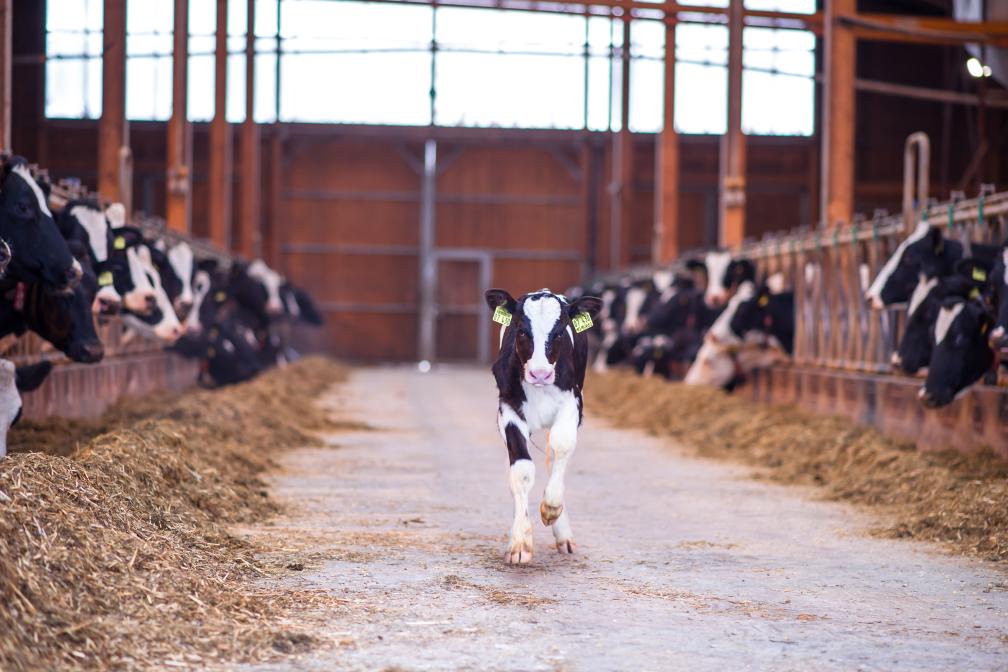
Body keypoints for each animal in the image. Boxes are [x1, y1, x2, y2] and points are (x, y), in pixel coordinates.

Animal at [485, 286, 600, 564]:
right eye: (521, 330)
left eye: (558, 332)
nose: (540, 374)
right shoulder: (507, 410)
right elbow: (521, 471)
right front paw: (519, 543)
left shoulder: (573, 403)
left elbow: (561, 447)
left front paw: (551, 508)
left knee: (552, 457)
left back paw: (563, 533)